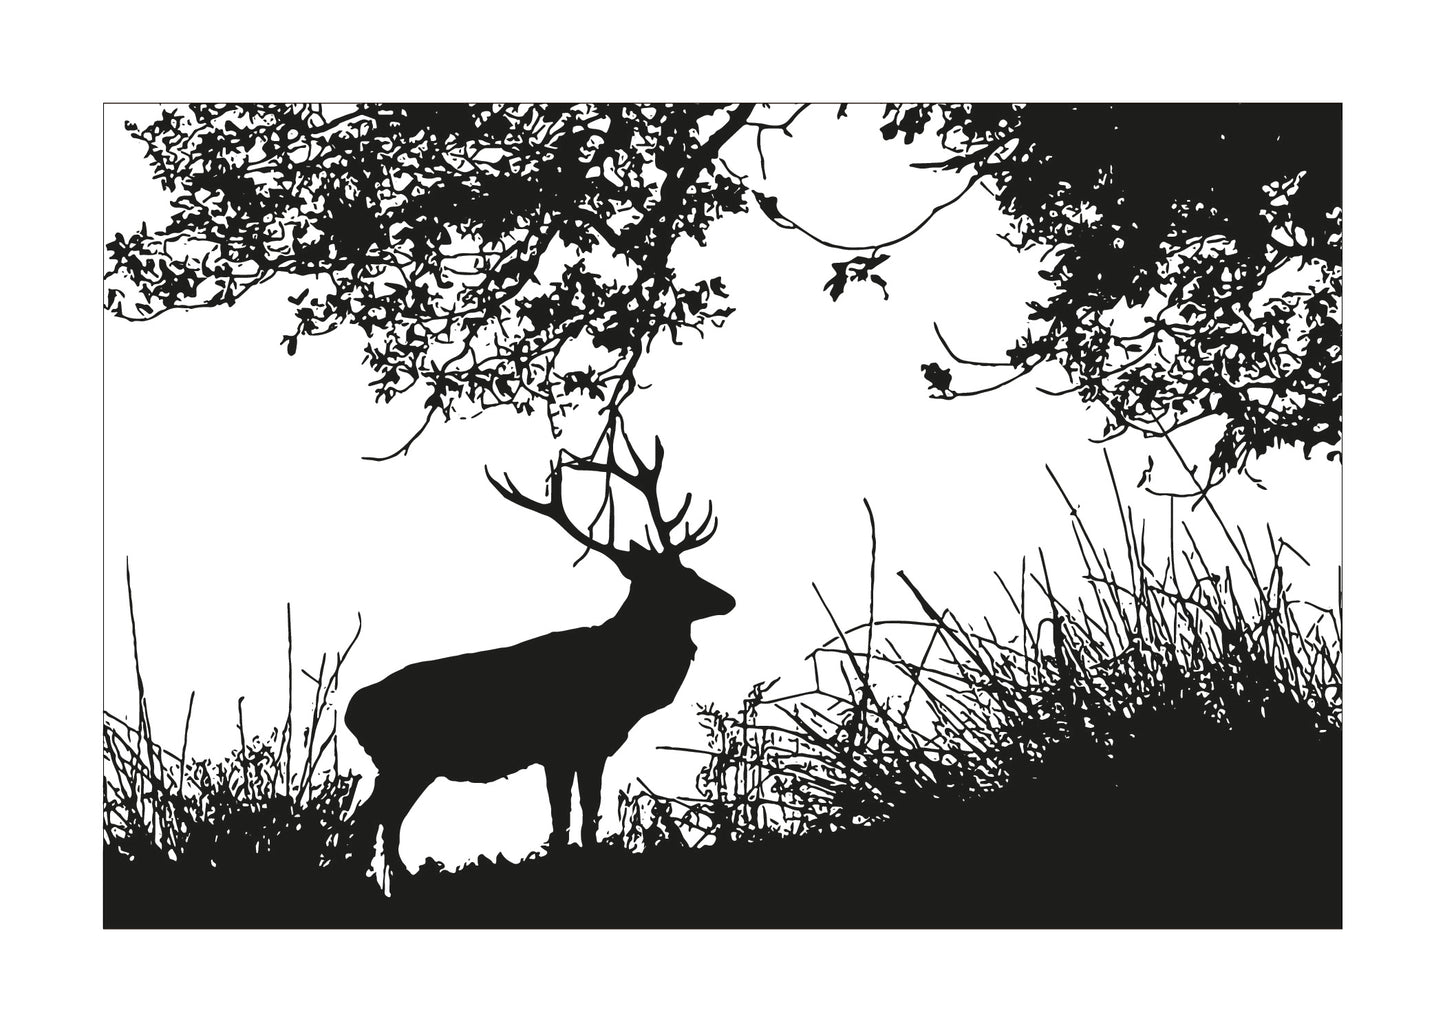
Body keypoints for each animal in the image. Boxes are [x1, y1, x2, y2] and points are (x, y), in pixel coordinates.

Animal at [343, 433, 735, 882]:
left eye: (691, 570)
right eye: (680, 578)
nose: (728, 599)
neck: (626, 684)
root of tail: (353, 711)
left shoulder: (589, 747)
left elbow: (584, 811)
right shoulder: (561, 745)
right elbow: (564, 815)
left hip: (405, 766)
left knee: (384, 818)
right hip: (406, 760)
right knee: (372, 817)